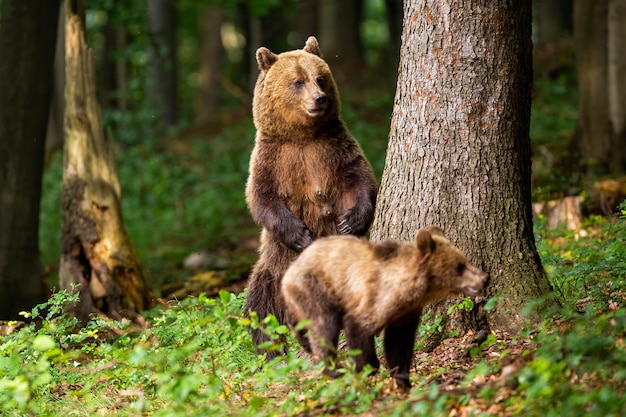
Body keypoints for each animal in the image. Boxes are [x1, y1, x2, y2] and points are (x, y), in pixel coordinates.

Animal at [245, 36, 376, 354]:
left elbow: (360, 179)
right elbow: (262, 199)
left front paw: (350, 222)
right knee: (260, 306)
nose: (319, 98)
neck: (302, 136)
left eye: (320, 78)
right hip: (276, 269)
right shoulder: (273, 159)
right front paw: (302, 235)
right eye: (297, 81)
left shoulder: (334, 150)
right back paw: (272, 345)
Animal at [280, 226, 488, 388]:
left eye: (465, 260)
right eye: (459, 266)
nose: (484, 278)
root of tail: (288, 273)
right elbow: (359, 330)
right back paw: (335, 369)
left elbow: (399, 344)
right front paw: (368, 368)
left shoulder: (406, 313)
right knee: (324, 325)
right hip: (316, 288)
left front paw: (403, 380)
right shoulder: (375, 300)